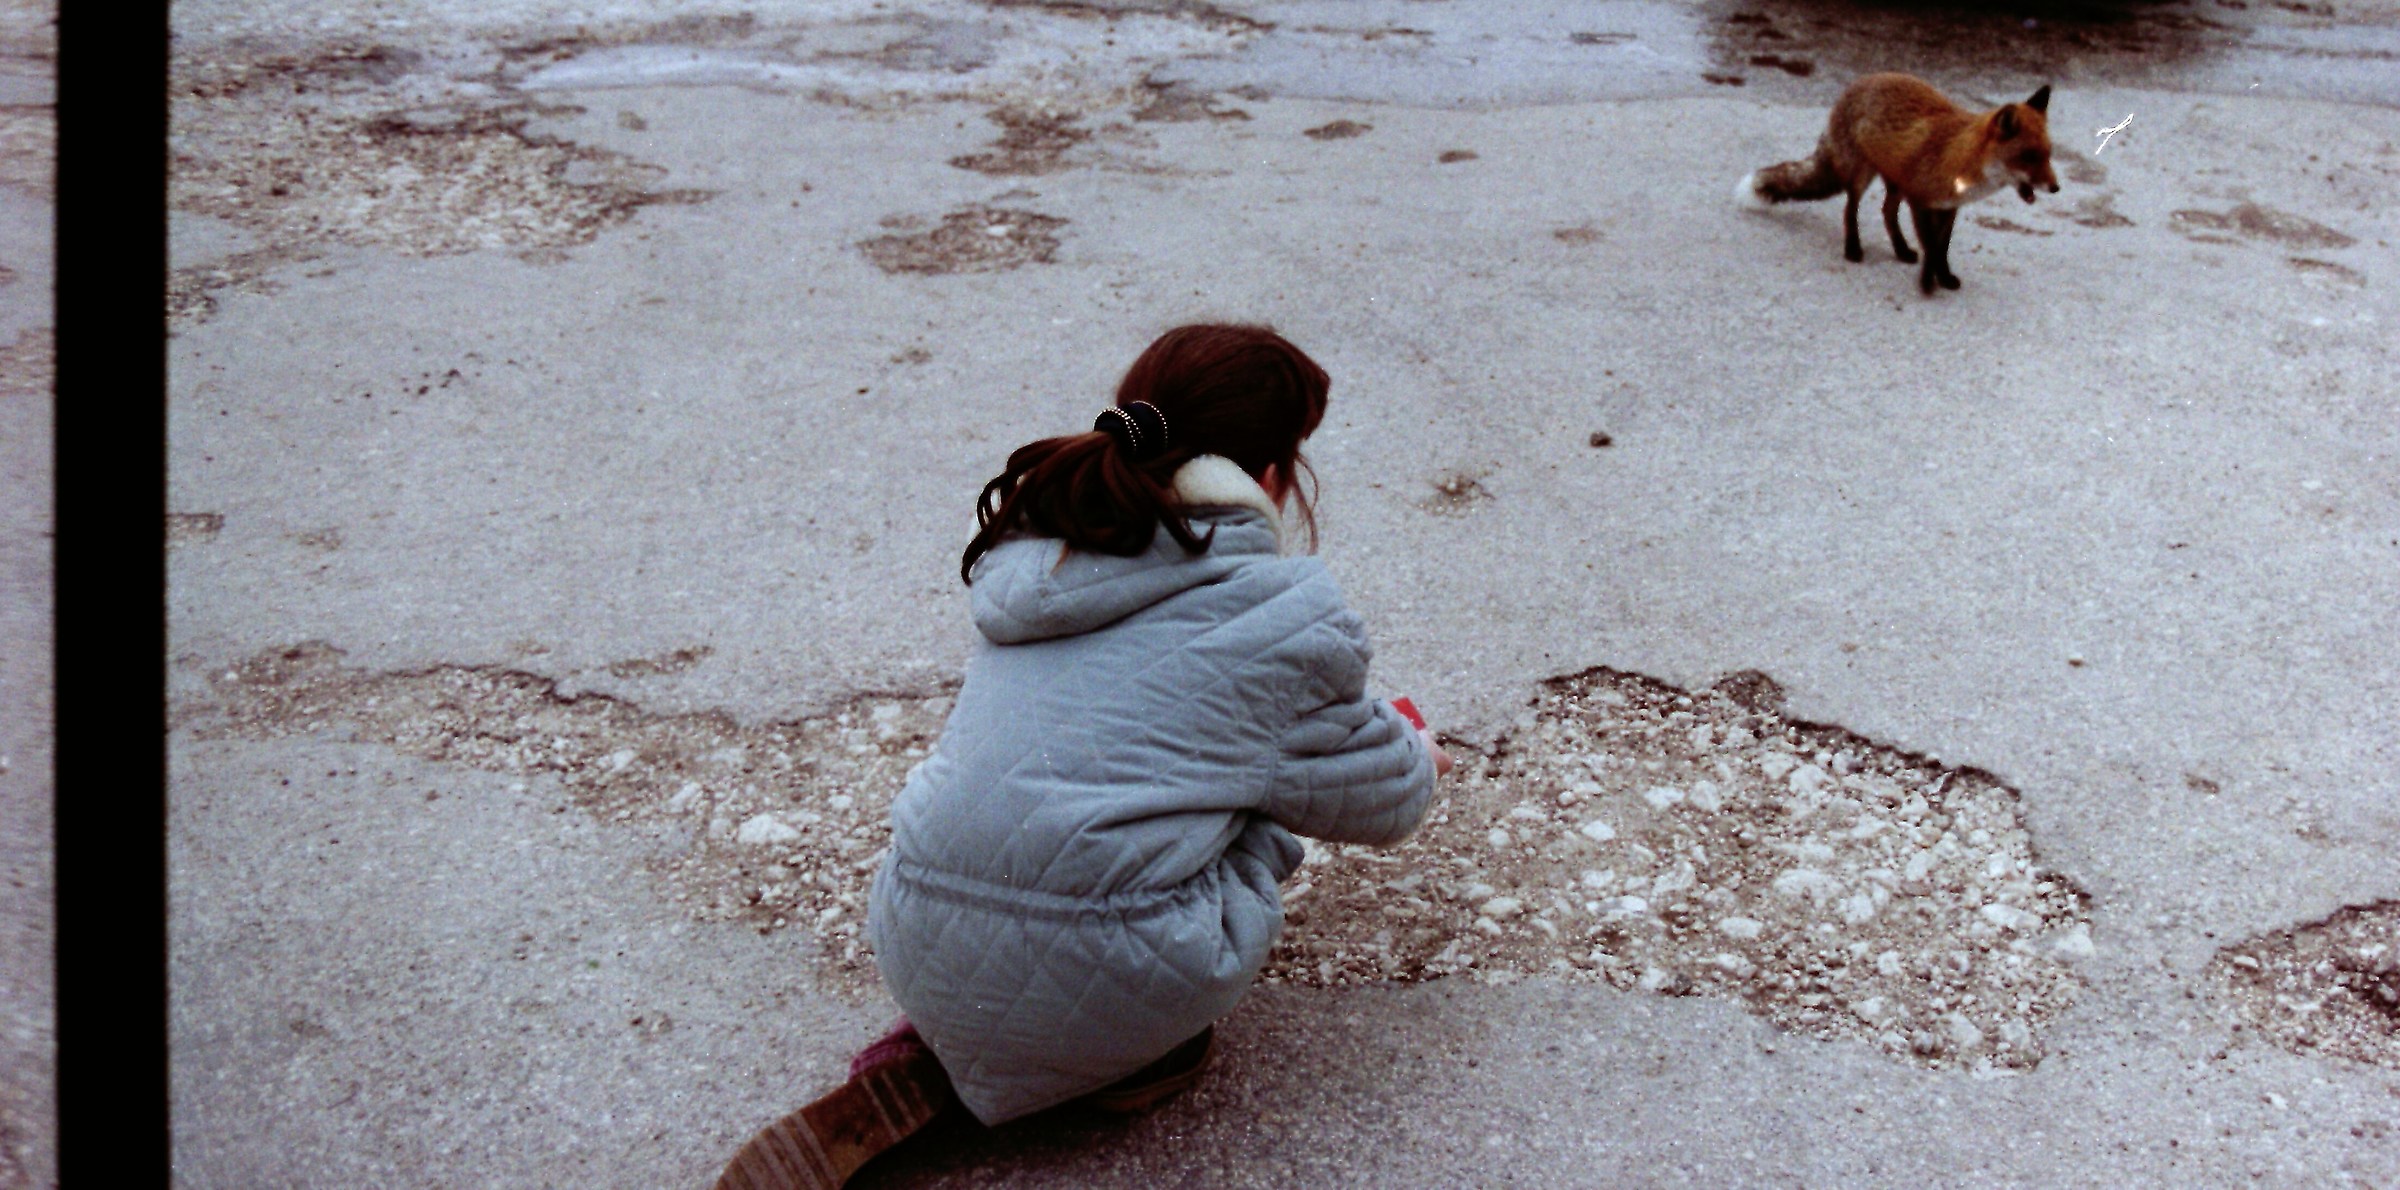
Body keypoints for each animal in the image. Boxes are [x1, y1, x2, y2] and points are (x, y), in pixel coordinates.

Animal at [1736, 73, 2062, 296]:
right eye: (2028, 157)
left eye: (2048, 154)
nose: (2055, 188)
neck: (1957, 157)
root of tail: (1859, 83)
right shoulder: (1919, 202)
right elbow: (1931, 247)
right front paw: (1928, 284)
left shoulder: (1948, 209)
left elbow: (1941, 248)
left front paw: (1943, 278)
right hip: (1862, 175)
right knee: (1850, 210)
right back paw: (1853, 249)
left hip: (1894, 183)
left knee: (1886, 211)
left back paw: (1901, 250)